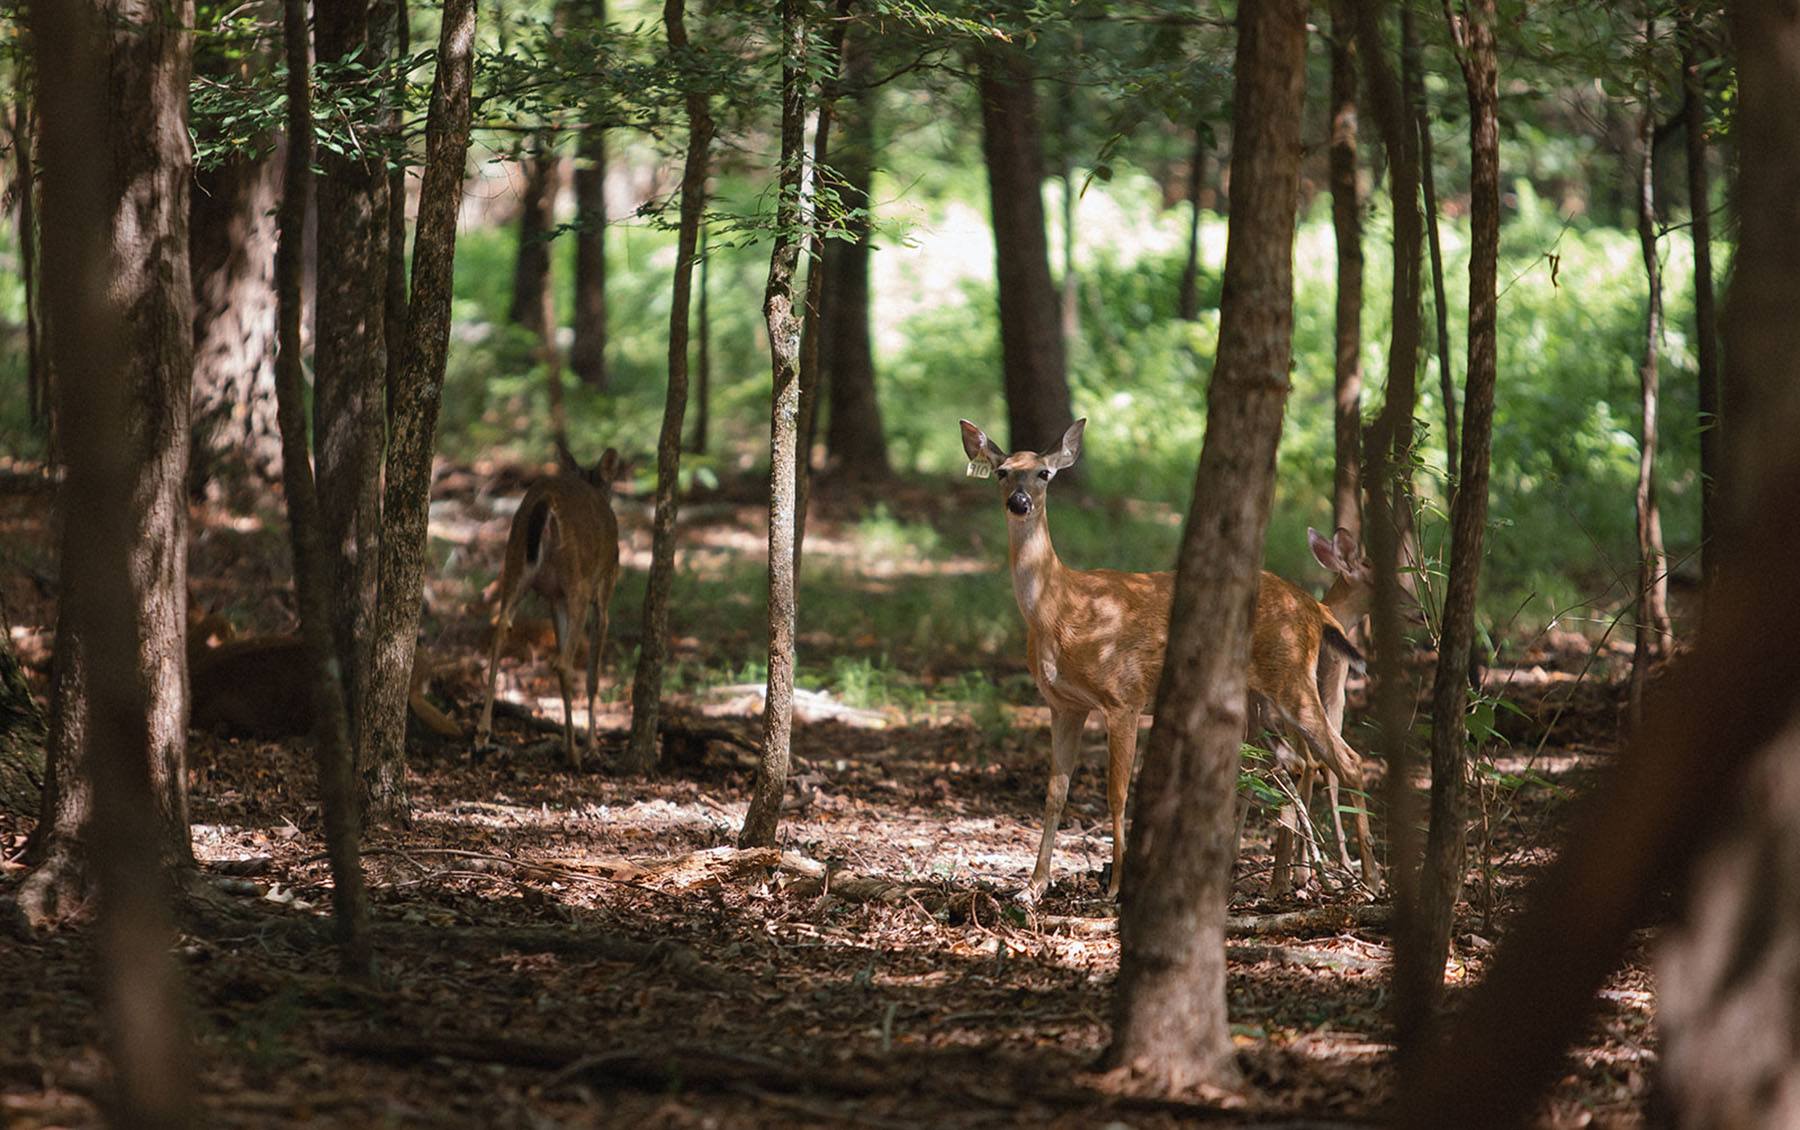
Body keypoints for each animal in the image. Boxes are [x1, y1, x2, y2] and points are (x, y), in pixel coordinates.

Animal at [478, 444, 626, 766]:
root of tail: (546, 500)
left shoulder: (554, 598)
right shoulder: (603, 593)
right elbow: (593, 677)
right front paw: (591, 746)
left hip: (515, 563)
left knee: (500, 630)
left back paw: (482, 734)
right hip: (578, 581)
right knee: (562, 663)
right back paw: (574, 753)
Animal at [957, 419, 1375, 903]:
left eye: (1043, 473)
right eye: (1003, 471)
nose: (1019, 502)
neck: (1061, 609)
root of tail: (1314, 607)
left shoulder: (1123, 696)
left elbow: (1118, 792)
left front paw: (1115, 886)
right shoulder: (1064, 705)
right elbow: (1055, 793)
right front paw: (1033, 886)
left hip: (1290, 676)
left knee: (1346, 760)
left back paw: (1366, 881)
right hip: (1260, 696)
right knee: (1297, 763)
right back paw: (1286, 879)